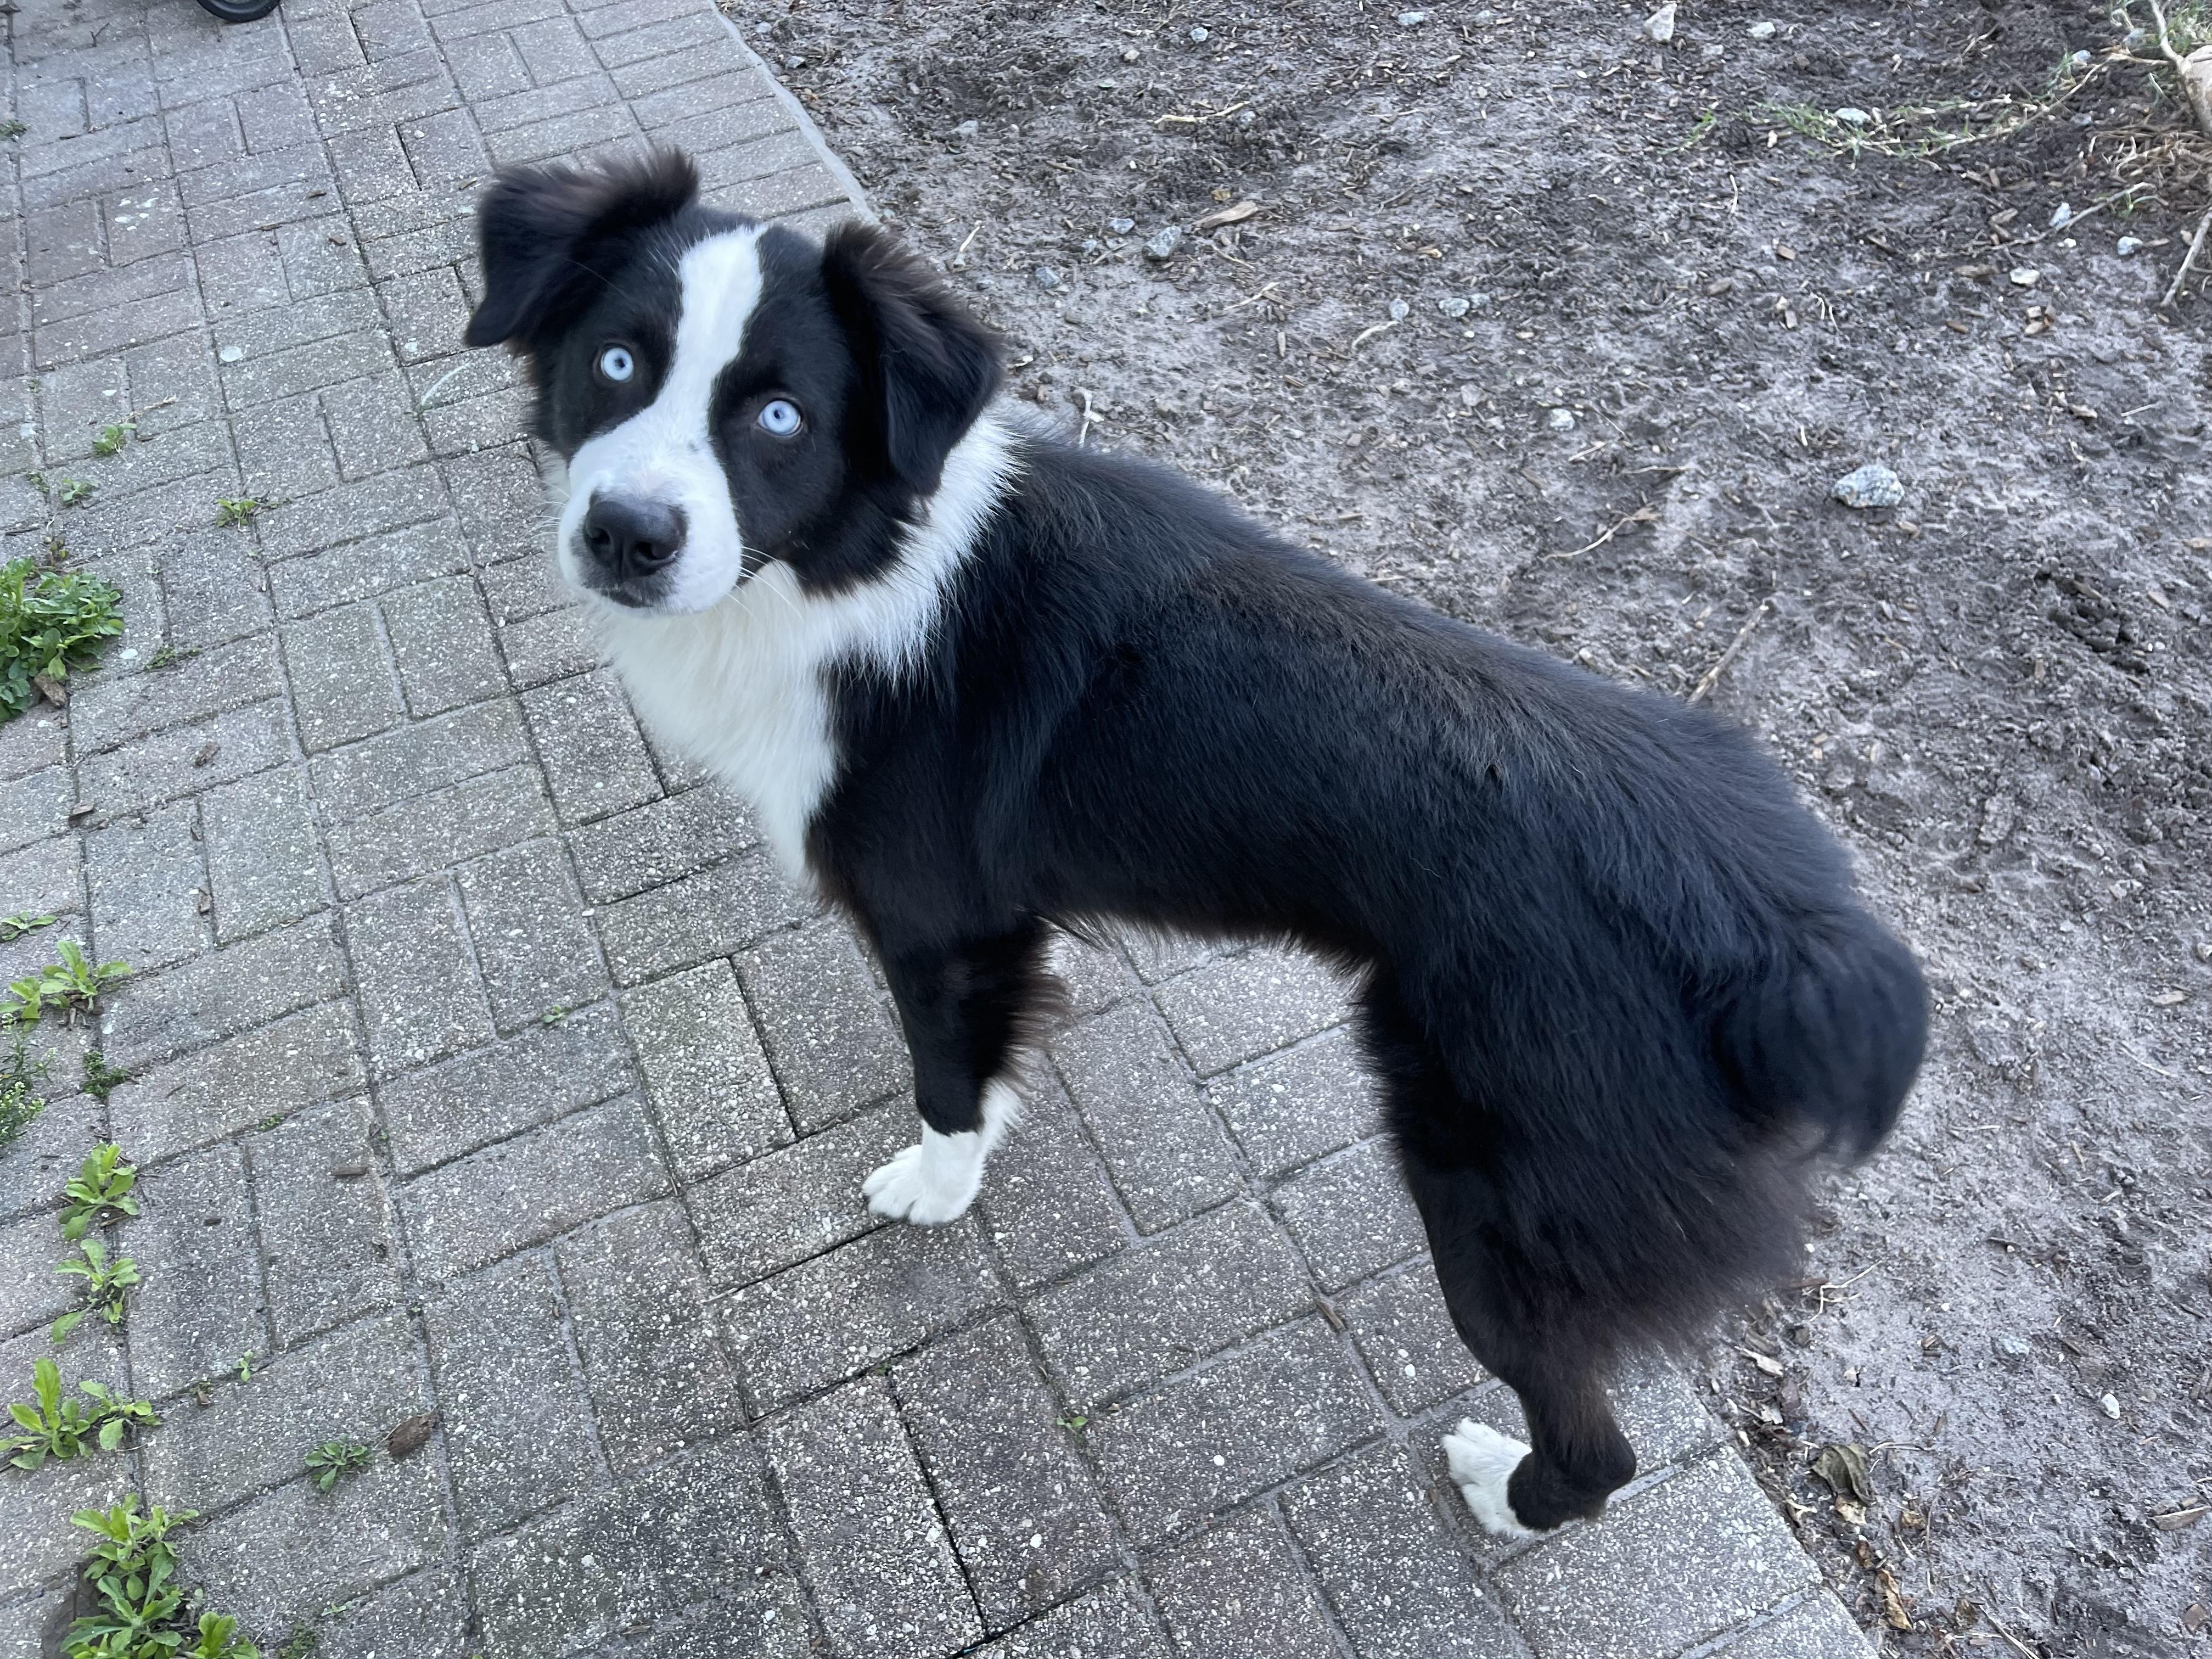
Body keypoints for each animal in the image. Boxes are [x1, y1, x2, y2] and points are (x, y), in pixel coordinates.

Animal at [463, 149, 1926, 1536]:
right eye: (615, 361)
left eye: (779, 416)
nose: (626, 535)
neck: (864, 564)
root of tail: (1782, 930)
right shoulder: (999, 918)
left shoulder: (935, 924)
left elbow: (942, 1077)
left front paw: (937, 1181)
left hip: (1494, 1194)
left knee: (1599, 1444)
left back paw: (1500, 1488)